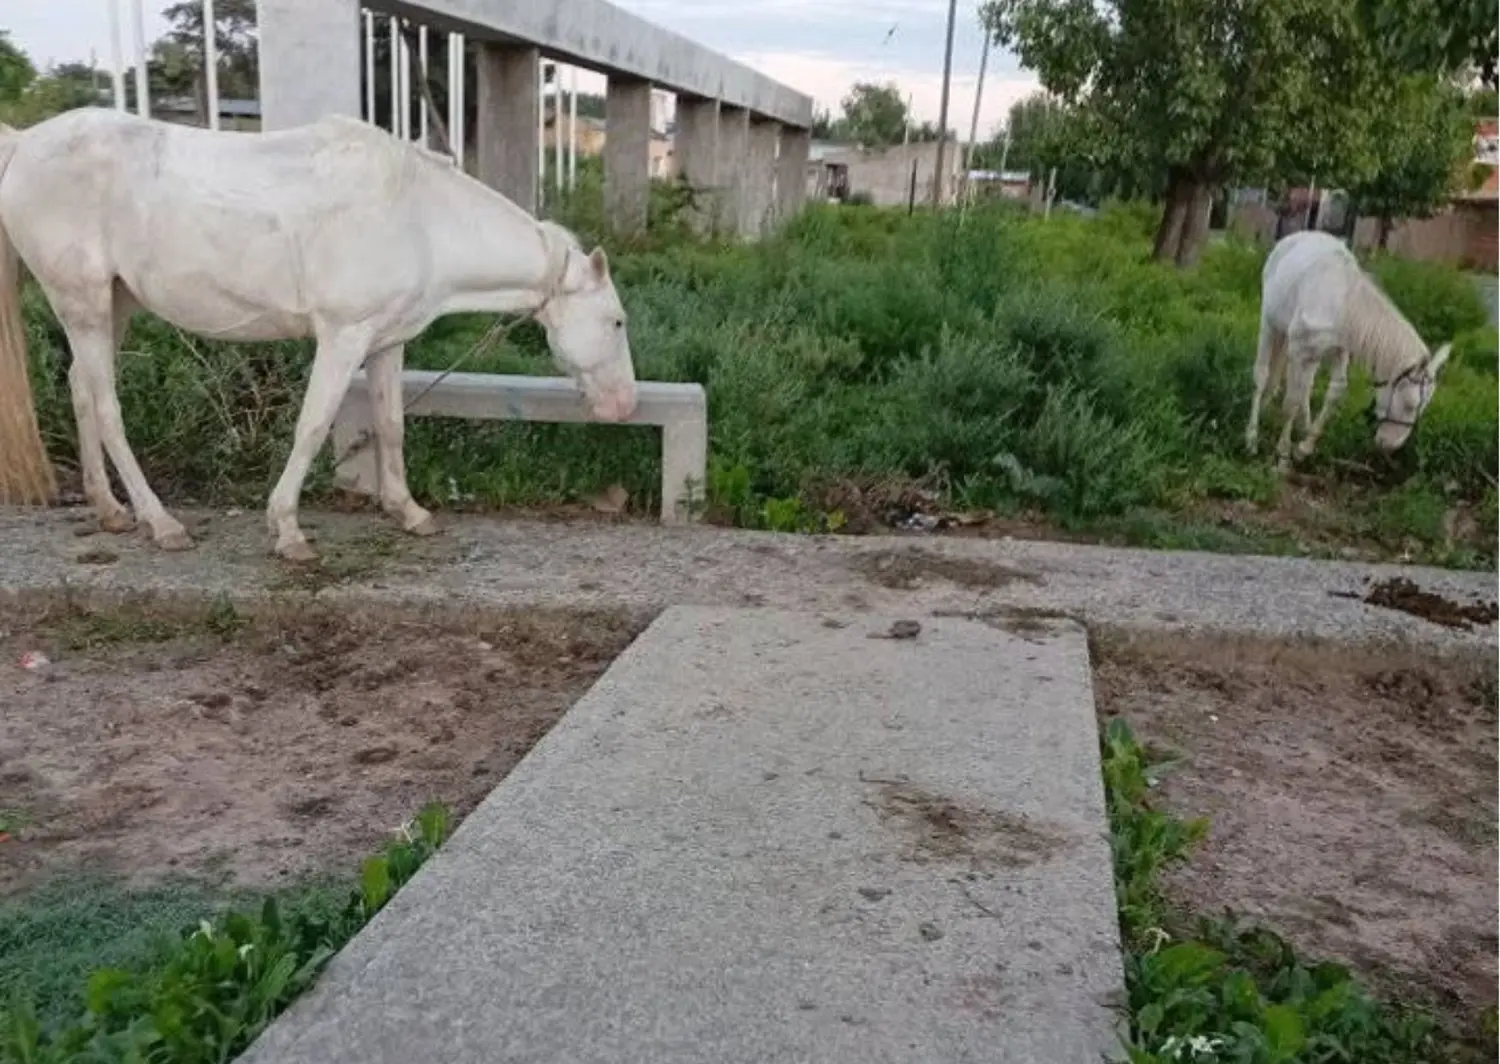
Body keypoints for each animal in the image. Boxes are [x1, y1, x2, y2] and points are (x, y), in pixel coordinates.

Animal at [0, 107, 638, 562]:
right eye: (616, 321)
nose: (625, 405)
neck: (420, 218)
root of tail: (23, 142)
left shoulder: (386, 341)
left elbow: (390, 424)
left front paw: (409, 512)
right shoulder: (343, 337)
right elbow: (312, 426)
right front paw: (288, 531)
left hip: (114, 303)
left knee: (80, 389)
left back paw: (110, 510)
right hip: (82, 301)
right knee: (108, 408)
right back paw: (162, 523)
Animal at [1244, 230, 1450, 469]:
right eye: (1410, 404)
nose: (1390, 445)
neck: (1342, 303)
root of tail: (1298, 235)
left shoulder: (1339, 350)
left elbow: (1335, 391)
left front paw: (1304, 447)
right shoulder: (1298, 351)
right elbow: (1291, 401)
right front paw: (1283, 456)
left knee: (1306, 385)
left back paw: (1303, 425)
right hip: (1270, 324)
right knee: (1262, 376)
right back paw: (1251, 438)